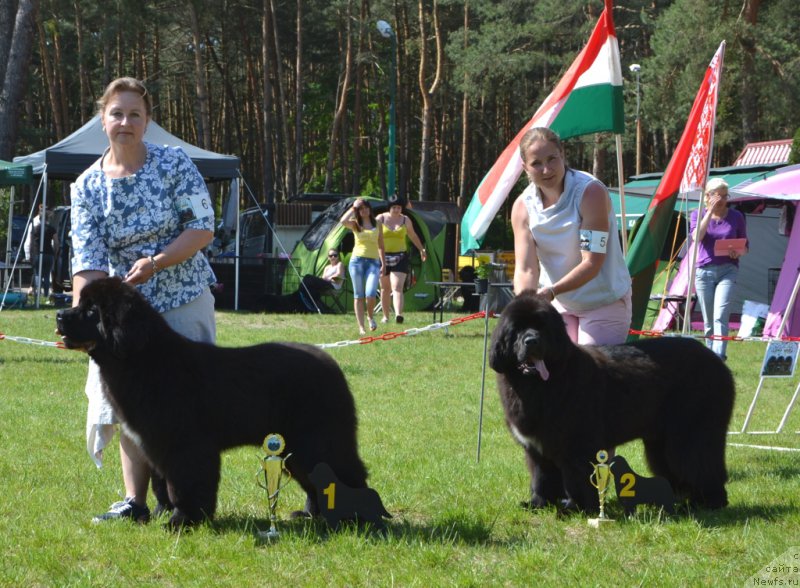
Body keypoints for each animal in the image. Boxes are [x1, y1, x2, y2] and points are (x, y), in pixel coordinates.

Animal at [56, 276, 372, 528]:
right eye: (80, 303)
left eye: (91, 310)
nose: (59, 314)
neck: (143, 360)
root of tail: (330, 364)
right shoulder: (155, 443)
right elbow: (162, 484)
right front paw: (164, 515)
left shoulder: (185, 445)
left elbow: (185, 484)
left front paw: (182, 521)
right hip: (294, 445)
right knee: (315, 478)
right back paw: (310, 515)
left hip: (318, 439)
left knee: (344, 472)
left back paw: (357, 518)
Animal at [484, 292, 736, 512]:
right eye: (517, 329)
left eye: (542, 327)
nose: (532, 340)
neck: (542, 384)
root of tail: (717, 362)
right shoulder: (537, 448)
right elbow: (541, 477)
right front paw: (538, 504)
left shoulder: (577, 445)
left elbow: (576, 478)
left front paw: (575, 508)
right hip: (660, 441)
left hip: (692, 432)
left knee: (702, 463)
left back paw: (709, 503)